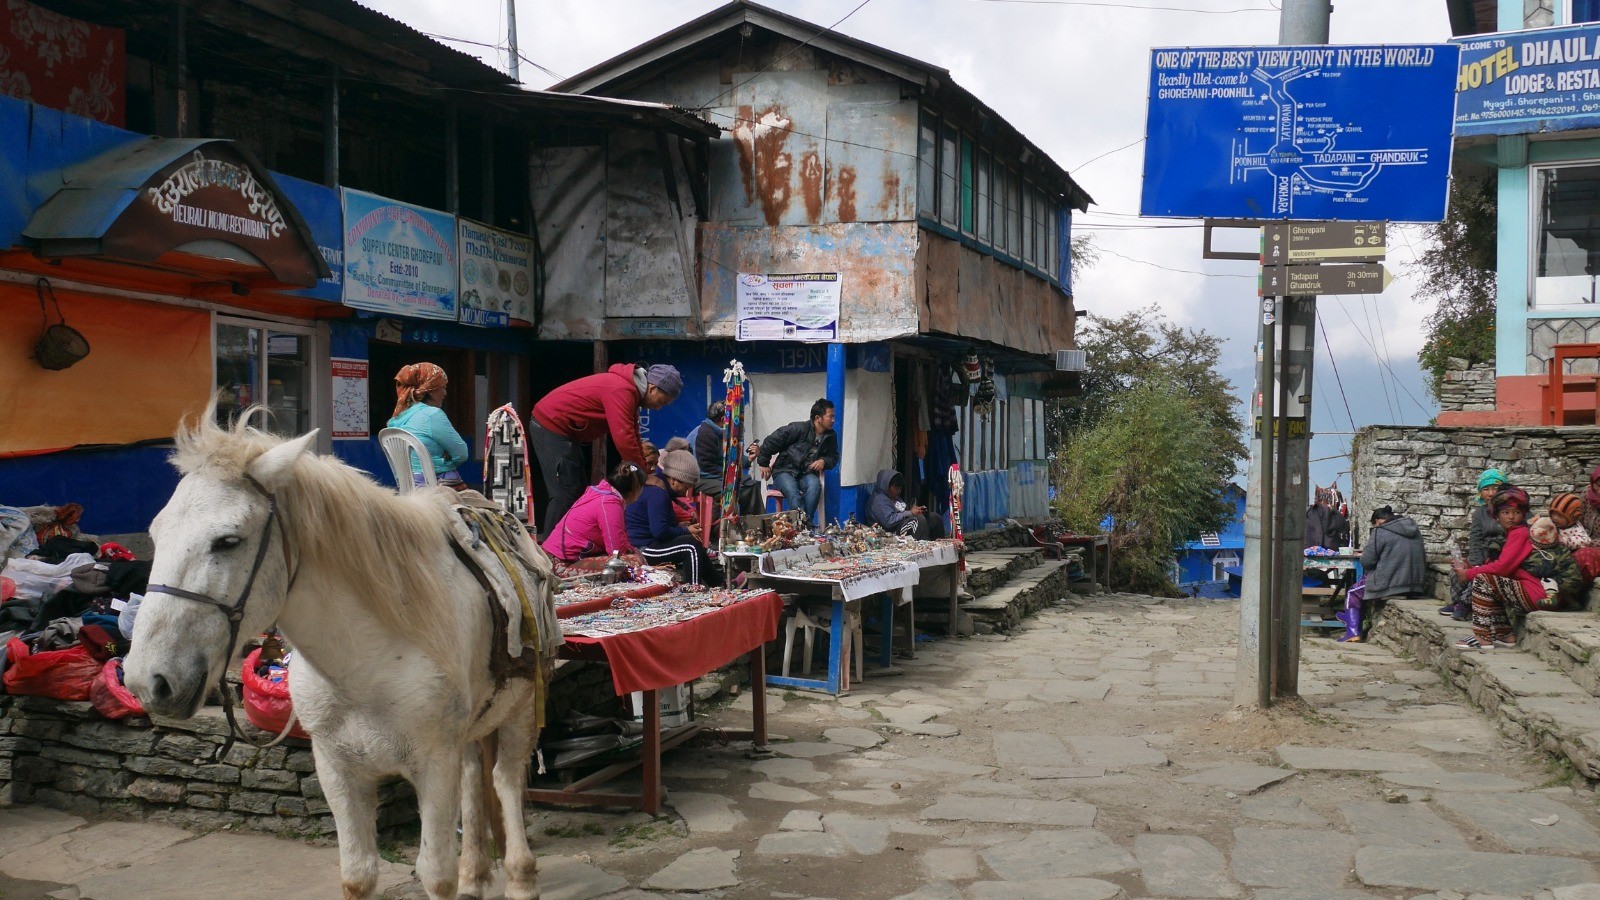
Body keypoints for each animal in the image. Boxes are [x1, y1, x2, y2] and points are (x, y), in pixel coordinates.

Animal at [123, 413, 557, 900]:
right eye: (156, 535)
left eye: (228, 541)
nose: (147, 680)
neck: (365, 665)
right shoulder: (337, 770)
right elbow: (358, 874)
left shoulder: (432, 766)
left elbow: (435, 873)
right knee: (474, 779)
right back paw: (475, 876)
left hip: (520, 710)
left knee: (505, 779)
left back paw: (520, 877)